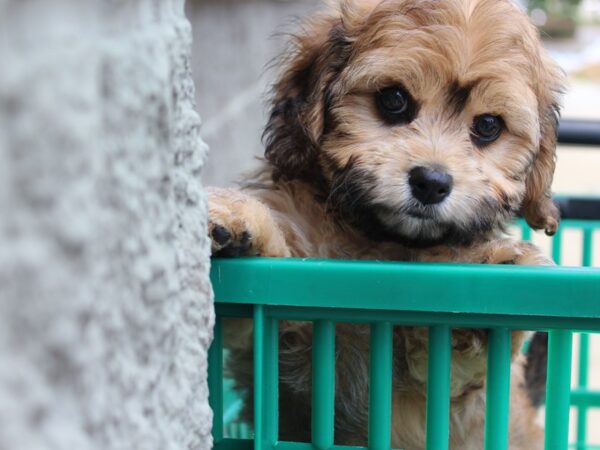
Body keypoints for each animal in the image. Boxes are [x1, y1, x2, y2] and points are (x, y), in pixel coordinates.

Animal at [207, 1, 564, 448]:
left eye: (488, 126)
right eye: (393, 99)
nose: (431, 183)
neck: (376, 243)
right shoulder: (261, 341)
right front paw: (237, 221)